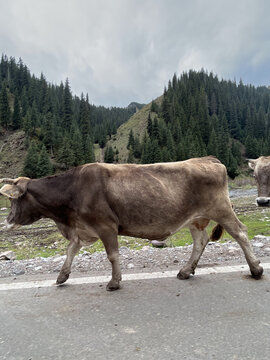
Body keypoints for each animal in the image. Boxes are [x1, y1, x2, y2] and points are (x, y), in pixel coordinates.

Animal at [0, 156, 264, 292]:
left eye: (12, 200)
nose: (7, 221)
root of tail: (207, 159)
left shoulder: (106, 226)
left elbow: (112, 255)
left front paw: (114, 282)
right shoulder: (81, 228)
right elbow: (70, 251)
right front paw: (62, 276)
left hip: (222, 209)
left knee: (241, 233)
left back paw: (256, 269)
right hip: (196, 219)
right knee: (200, 241)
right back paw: (185, 271)